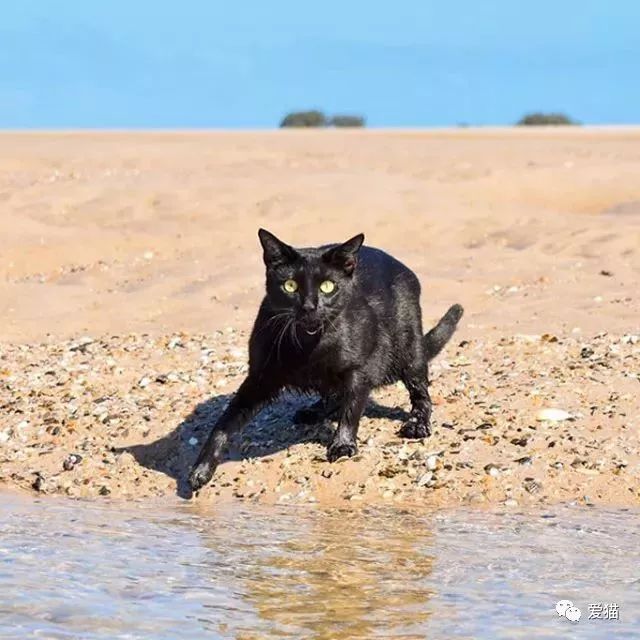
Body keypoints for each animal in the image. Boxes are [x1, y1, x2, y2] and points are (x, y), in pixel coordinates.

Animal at [188, 230, 462, 490]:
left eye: (327, 286)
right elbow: (225, 422)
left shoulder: (359, 369)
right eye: (290, 286)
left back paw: (417, 424)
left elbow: (352, 408)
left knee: (420, 392)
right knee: (332, 393)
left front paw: (342, 445)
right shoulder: (259, 376)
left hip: (409, 348)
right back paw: (315, 410)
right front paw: (200, 469)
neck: (308, 344)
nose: (309, 306)